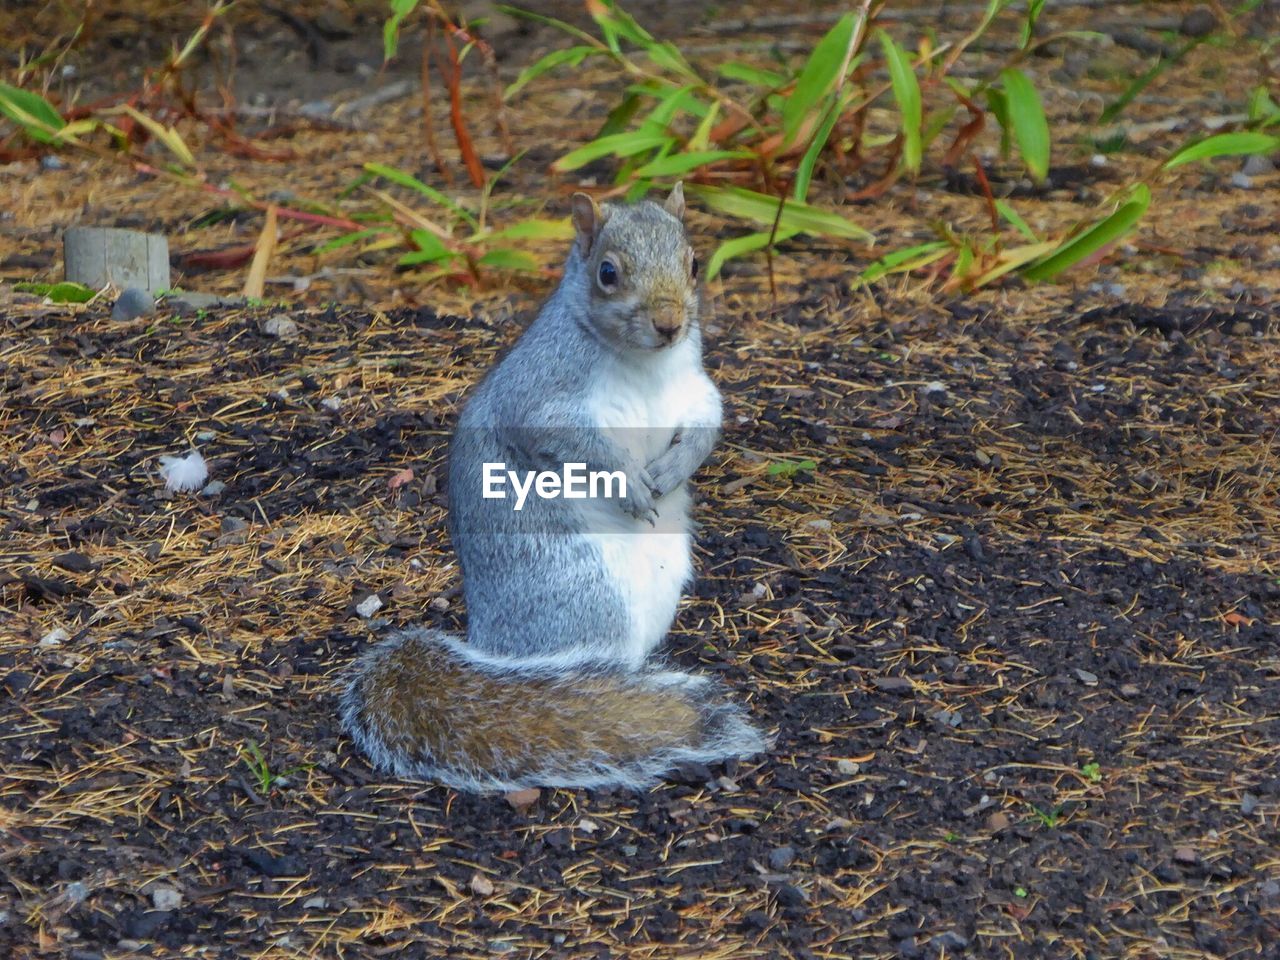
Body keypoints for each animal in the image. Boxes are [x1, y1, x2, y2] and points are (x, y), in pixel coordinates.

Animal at [340, 184, 762, 793]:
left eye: (694, 263)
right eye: (608, 273)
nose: (668, 323)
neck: (647, 364)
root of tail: (490, 646)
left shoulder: (695, 389)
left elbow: (706, 425)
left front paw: (671, 470)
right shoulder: (541, 396)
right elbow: (568, 439)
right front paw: (632, 484)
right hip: (583, 592)